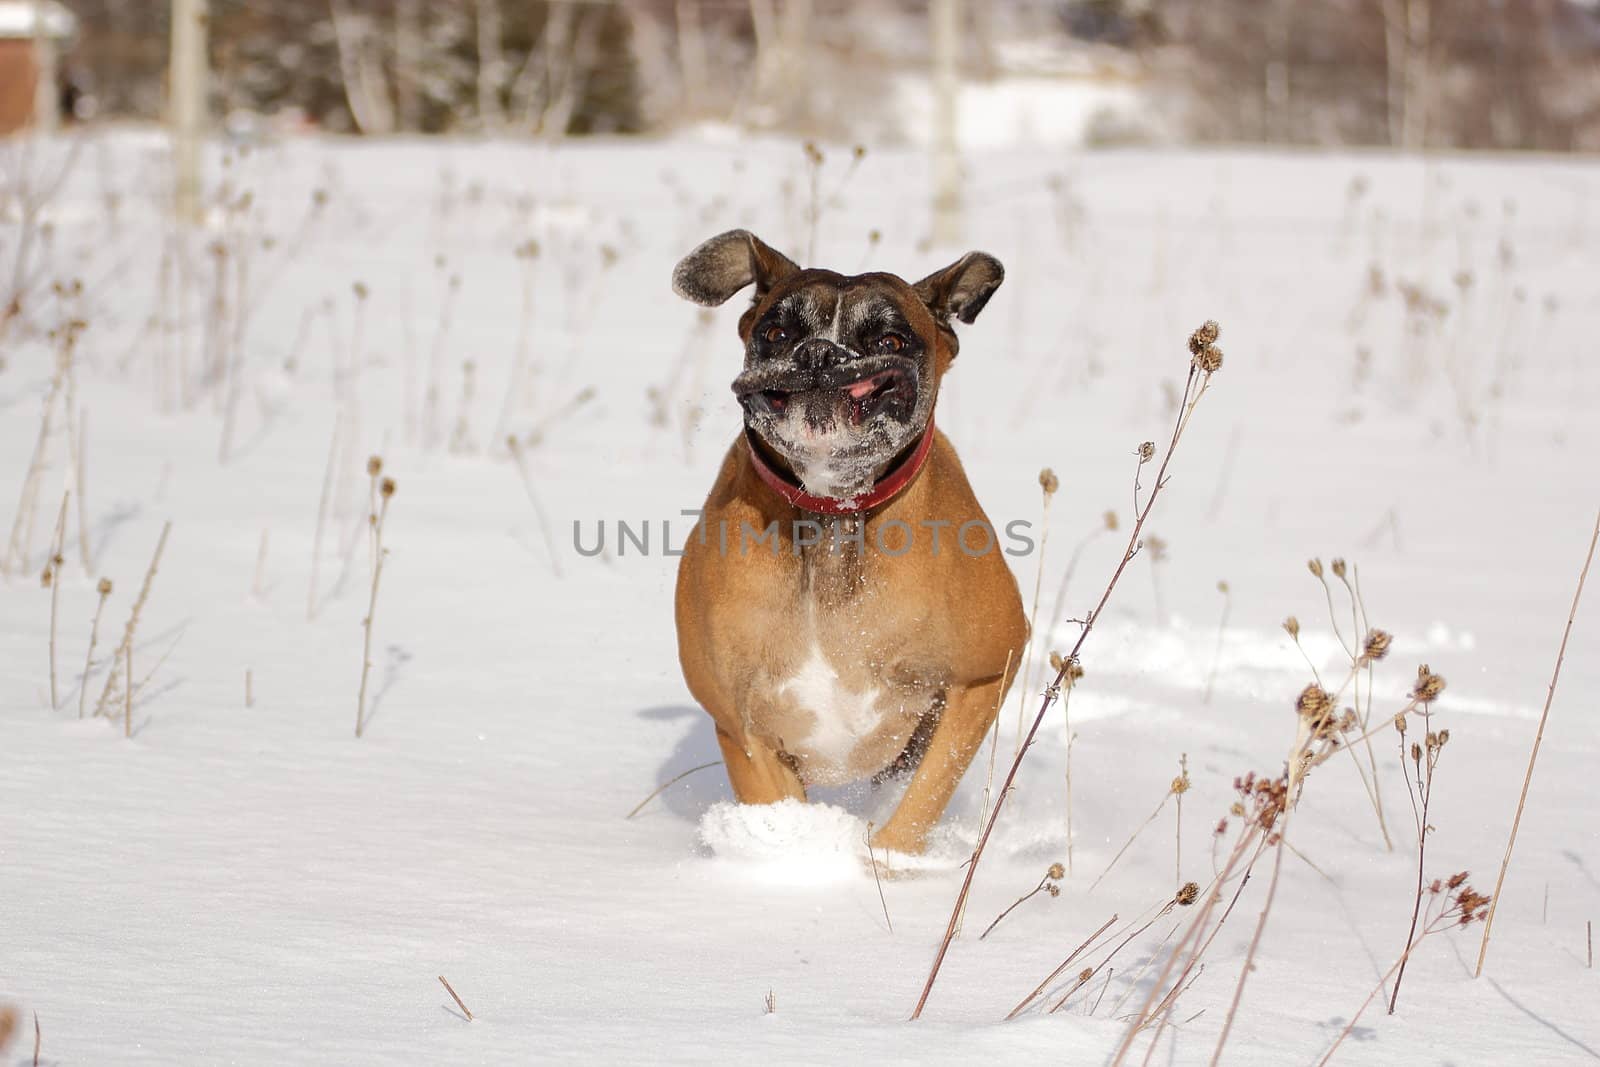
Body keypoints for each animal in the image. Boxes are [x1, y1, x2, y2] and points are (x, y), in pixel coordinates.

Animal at [672, 230, 1024, 857]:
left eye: (889, 340)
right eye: (777, 332)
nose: (819, 354)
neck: (833, 512)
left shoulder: (982, 677)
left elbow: (923, 794)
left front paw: (887, 862)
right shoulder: (744, 729)